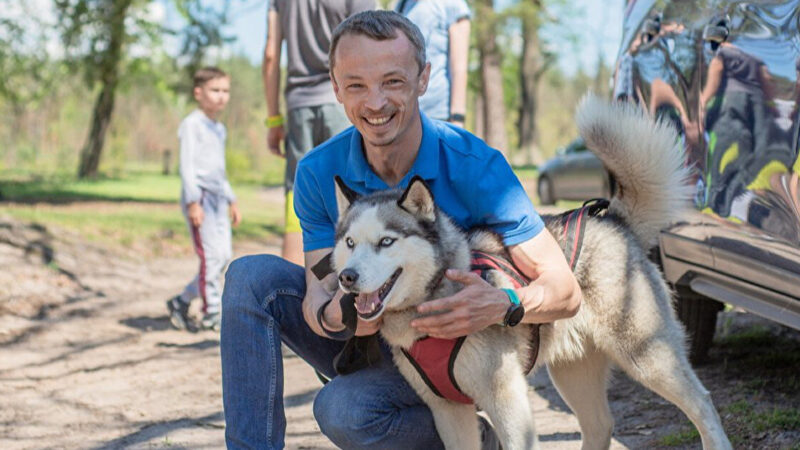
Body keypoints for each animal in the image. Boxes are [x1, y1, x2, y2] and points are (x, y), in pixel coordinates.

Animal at [330, 98, 732, 450]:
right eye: (349, 242)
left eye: (386, 241)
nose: (346, 277)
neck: (434, 295)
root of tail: (613, 220)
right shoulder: (447, 410)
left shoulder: (506, 397)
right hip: (574, 372)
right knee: (600, 425)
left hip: (646, 355)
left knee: (702, 401)